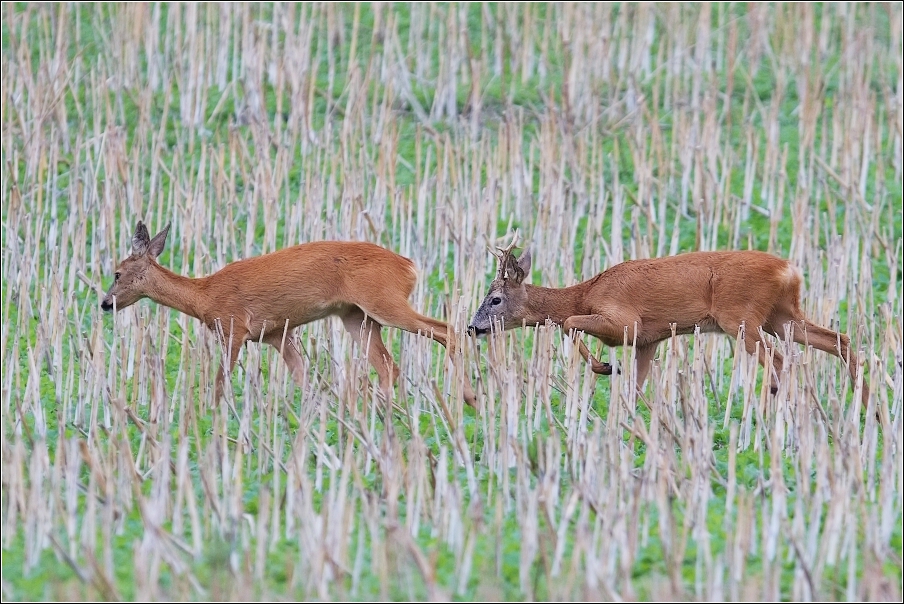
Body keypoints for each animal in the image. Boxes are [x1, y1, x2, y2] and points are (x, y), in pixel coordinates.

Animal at [102, 221, 476, 406]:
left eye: (117, 273)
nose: (105, 303)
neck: (203, 296)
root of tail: (409, 266)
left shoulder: (234, 326)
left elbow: (221, 380)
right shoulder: (275, 335)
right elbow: (303, 379)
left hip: (385, 303)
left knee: (446, 330)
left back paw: (469, 398)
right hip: (357, 317)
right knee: (388, 366)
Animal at [466, 234, 868, 408]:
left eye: (495, 299)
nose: (472, 326)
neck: (586, 292)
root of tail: (790, 270)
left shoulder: (623, 321)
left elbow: (568, 323)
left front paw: (605, 366)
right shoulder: (649, 340)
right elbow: (637, 386)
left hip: (740, 316)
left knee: (779, 358)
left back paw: (772, 400)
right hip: (782, 315)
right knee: (839, 339)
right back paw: (865, 404)